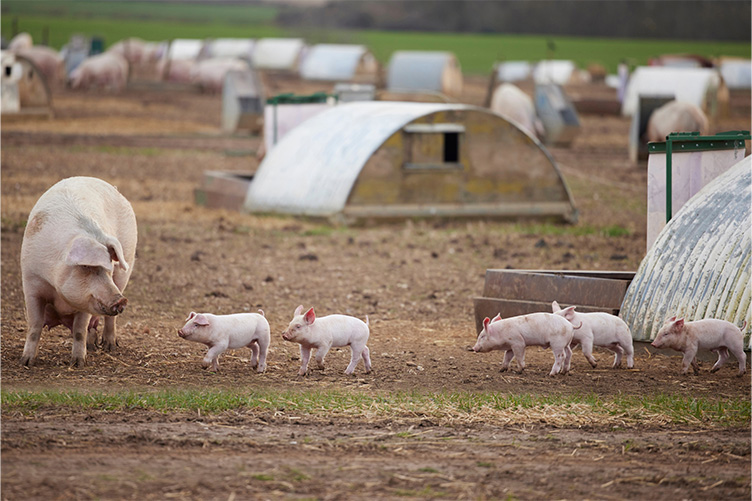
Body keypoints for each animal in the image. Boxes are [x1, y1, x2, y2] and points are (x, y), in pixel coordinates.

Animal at [20, 177, 137, 367]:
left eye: (108, 267)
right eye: (86, 267)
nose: (120, 300)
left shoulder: (86, 300)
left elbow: (79, 330)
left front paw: (78, 363)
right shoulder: (31, 283)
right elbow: (35, 326)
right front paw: (26, 362)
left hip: (124, 268)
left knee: (109, 320)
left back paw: (109, 346)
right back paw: (92, 346)